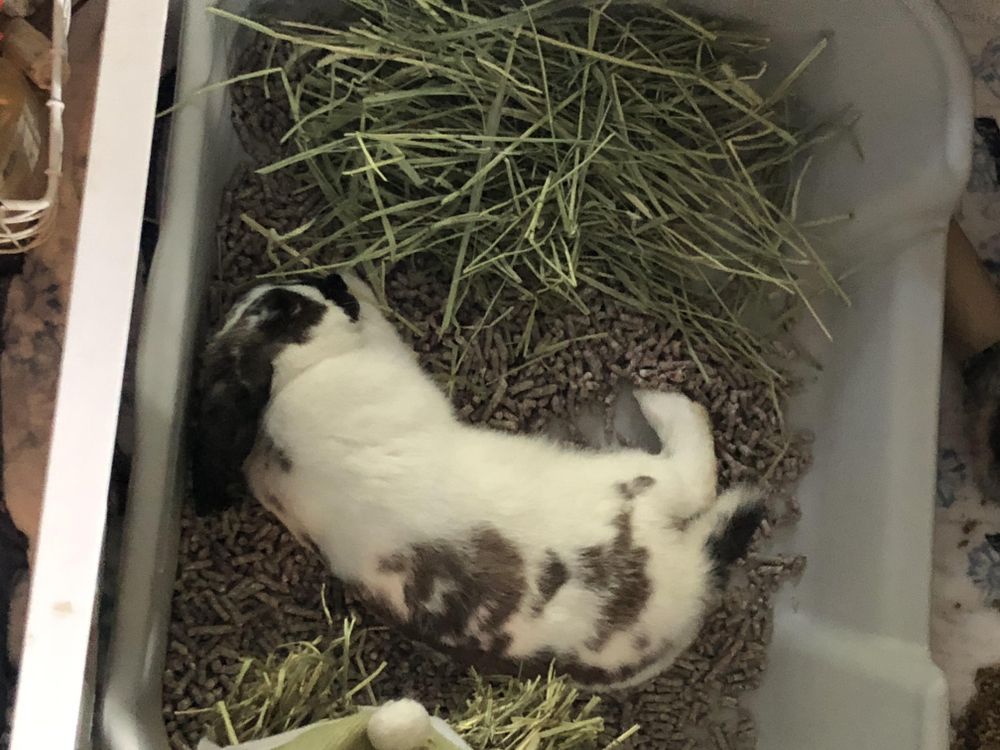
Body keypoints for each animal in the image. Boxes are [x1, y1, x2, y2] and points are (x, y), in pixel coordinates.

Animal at [191, 271, 765, 690]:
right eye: (285, 308)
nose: (331, 276)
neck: (291, 380)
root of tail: (693, 576)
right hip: (641, 480)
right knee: (696, 472)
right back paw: (666, 401)